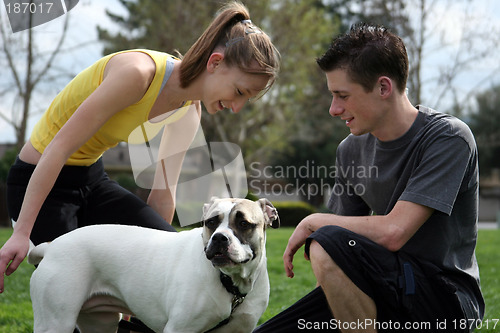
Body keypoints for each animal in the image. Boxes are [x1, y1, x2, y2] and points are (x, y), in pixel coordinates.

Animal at [27, 197, 280, 332]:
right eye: (210, 222)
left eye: (244, 223)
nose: (219, 238)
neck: (230, 282)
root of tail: (51, 246)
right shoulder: (179, 329)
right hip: (55, 323)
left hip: (100, 323)